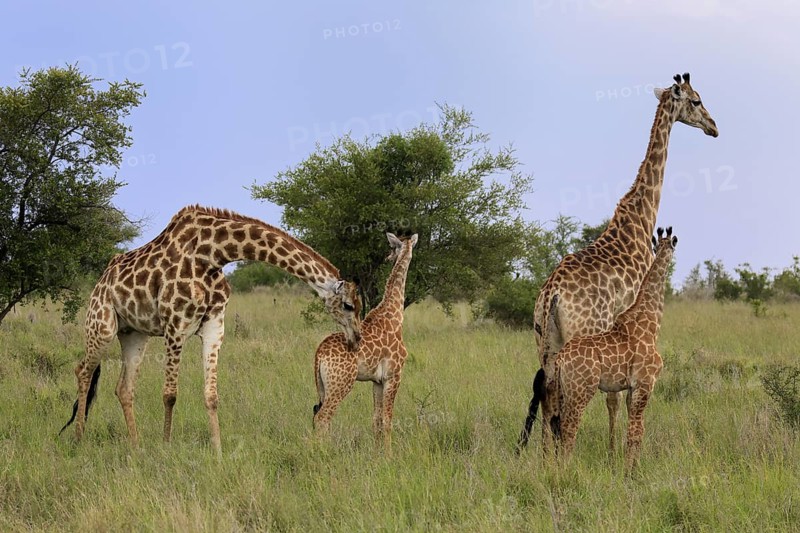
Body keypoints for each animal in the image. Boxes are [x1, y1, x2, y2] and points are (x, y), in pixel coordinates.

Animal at [60, 205, 362, 454]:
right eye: (348, 305)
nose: (356, 339)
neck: (212, 254)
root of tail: (101, 281)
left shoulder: (214, 327)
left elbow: (211, 395)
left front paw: (217, 452)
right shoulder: (175, 325)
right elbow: (170, 394)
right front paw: (166, 446)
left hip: (135, 333)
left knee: (123, 388)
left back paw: (135, 447)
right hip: (102, 324)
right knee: (83, 371)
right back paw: (78, 439)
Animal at [312, 232, 417, 450]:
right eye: (393, 247)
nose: (387, 257)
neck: (395, 315)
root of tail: (319, 353)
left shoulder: (377, 380)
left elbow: (376, 419)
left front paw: (377, 453)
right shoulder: (394, 375)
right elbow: (387, 420)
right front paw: (389, 454)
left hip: (323, 386)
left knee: (318, 414)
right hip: (341, 383)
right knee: (323, 417)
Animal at [543, 227, 677, 471]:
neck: (650, 321)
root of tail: (561, 360)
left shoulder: (632, 388)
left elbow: (634, 430)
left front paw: (631, 465)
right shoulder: (645, 384)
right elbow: (636, 431)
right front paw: (630, 471)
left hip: (561, 388)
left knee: (555, 423)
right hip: (581, 390)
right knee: (568, 427)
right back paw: (566, 469)